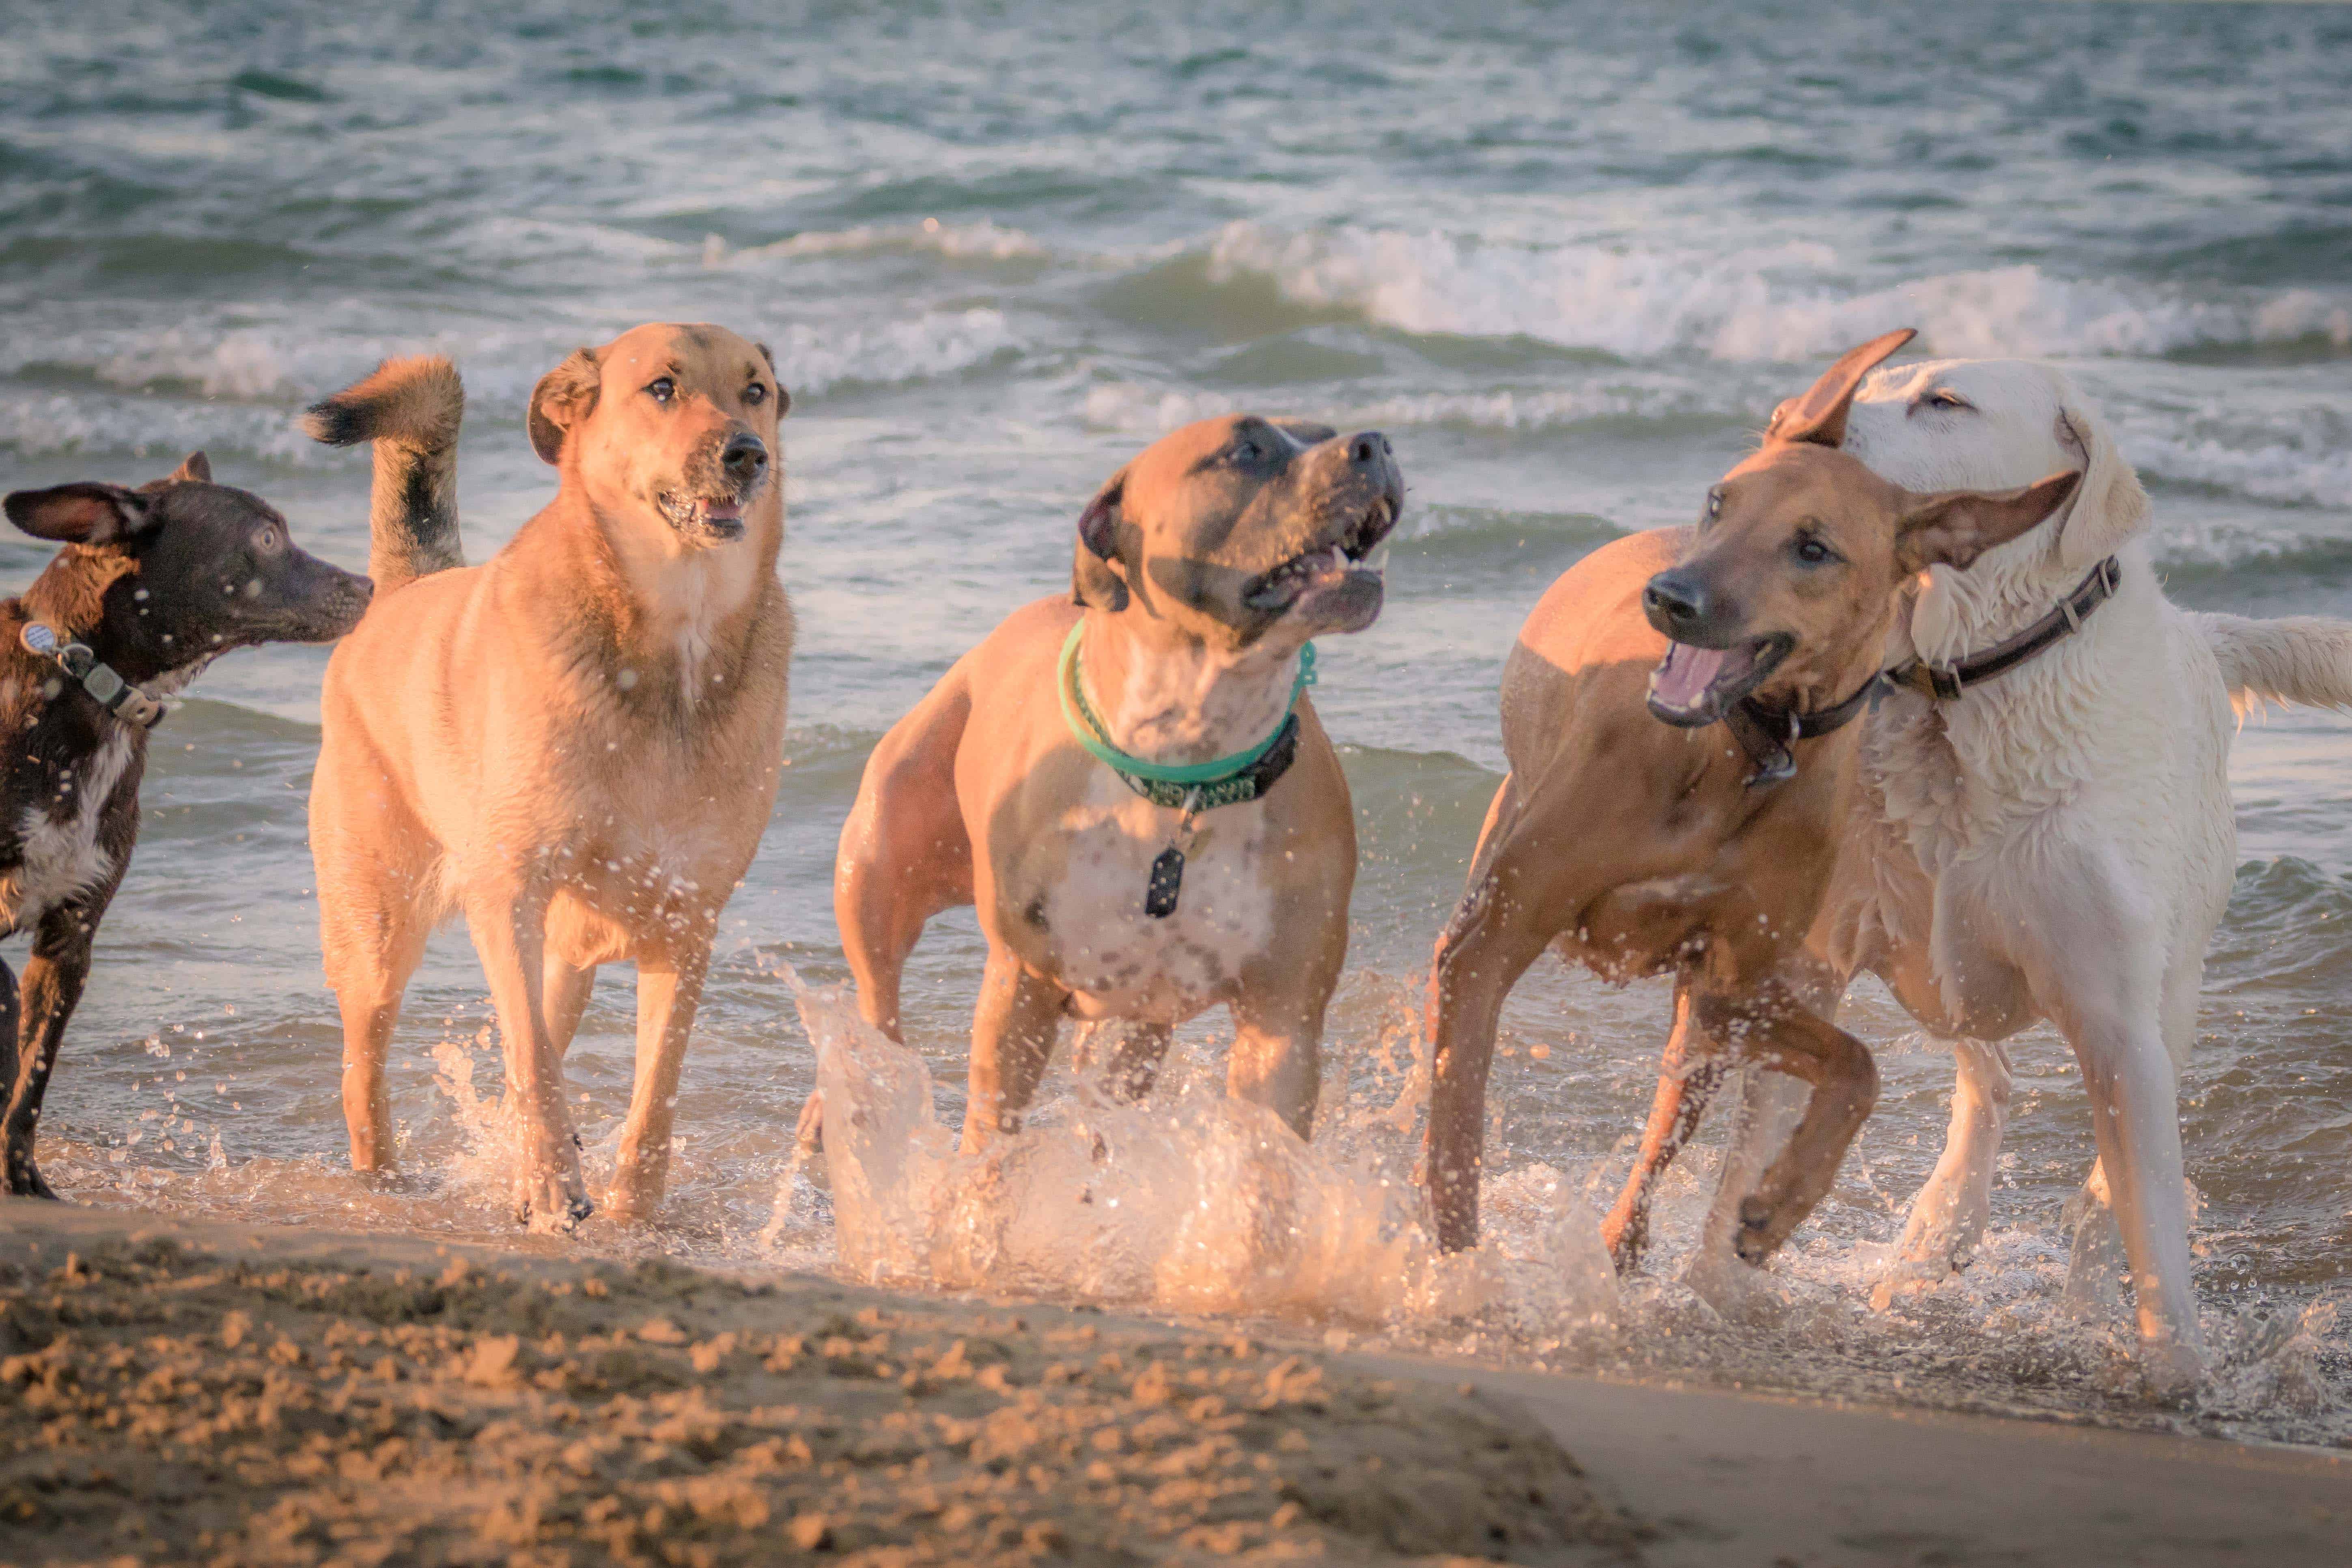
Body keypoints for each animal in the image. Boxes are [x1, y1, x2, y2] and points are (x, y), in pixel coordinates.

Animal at [0, 461, 371, 1194]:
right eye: (266, 536)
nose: (369, 585)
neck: (84, 687)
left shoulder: (71, 940)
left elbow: (31, 1077)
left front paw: (22, 1176)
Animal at [303, 324, 795, 1232]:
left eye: (756, 391)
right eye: (663, 388)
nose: (748, 454)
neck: (674, 638)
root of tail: (403, 591)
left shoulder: (689, 921)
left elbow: (656, 1091)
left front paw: (634, 1215)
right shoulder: (510, 894)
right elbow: (531, 1055)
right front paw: (550, 1188)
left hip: (564, 954)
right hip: (377, 926)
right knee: (367, 1070)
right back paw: (386, 1182)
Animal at [832, 416, 1392, 1152]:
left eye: (1325, 430)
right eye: (1246, 448)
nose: (1377, 444)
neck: (1187, 764)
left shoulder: (1283, 1017)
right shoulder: (1020, 989)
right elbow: (991, 1145)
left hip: (1140, 1027)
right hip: (876, 873)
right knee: (876, 1019)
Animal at [1411, 331, 2079, 1279]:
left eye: (1813, 549)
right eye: (1718, 501)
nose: (1670, 598)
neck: (1739, 753)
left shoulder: (1734, 988)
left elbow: (1859, 1065)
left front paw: (1782, 1202)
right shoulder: (1492, 940)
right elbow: (1458, 1129)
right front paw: (1459, 1266)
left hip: (1692, 1035)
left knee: (1662, 1134)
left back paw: (1621, 1247)